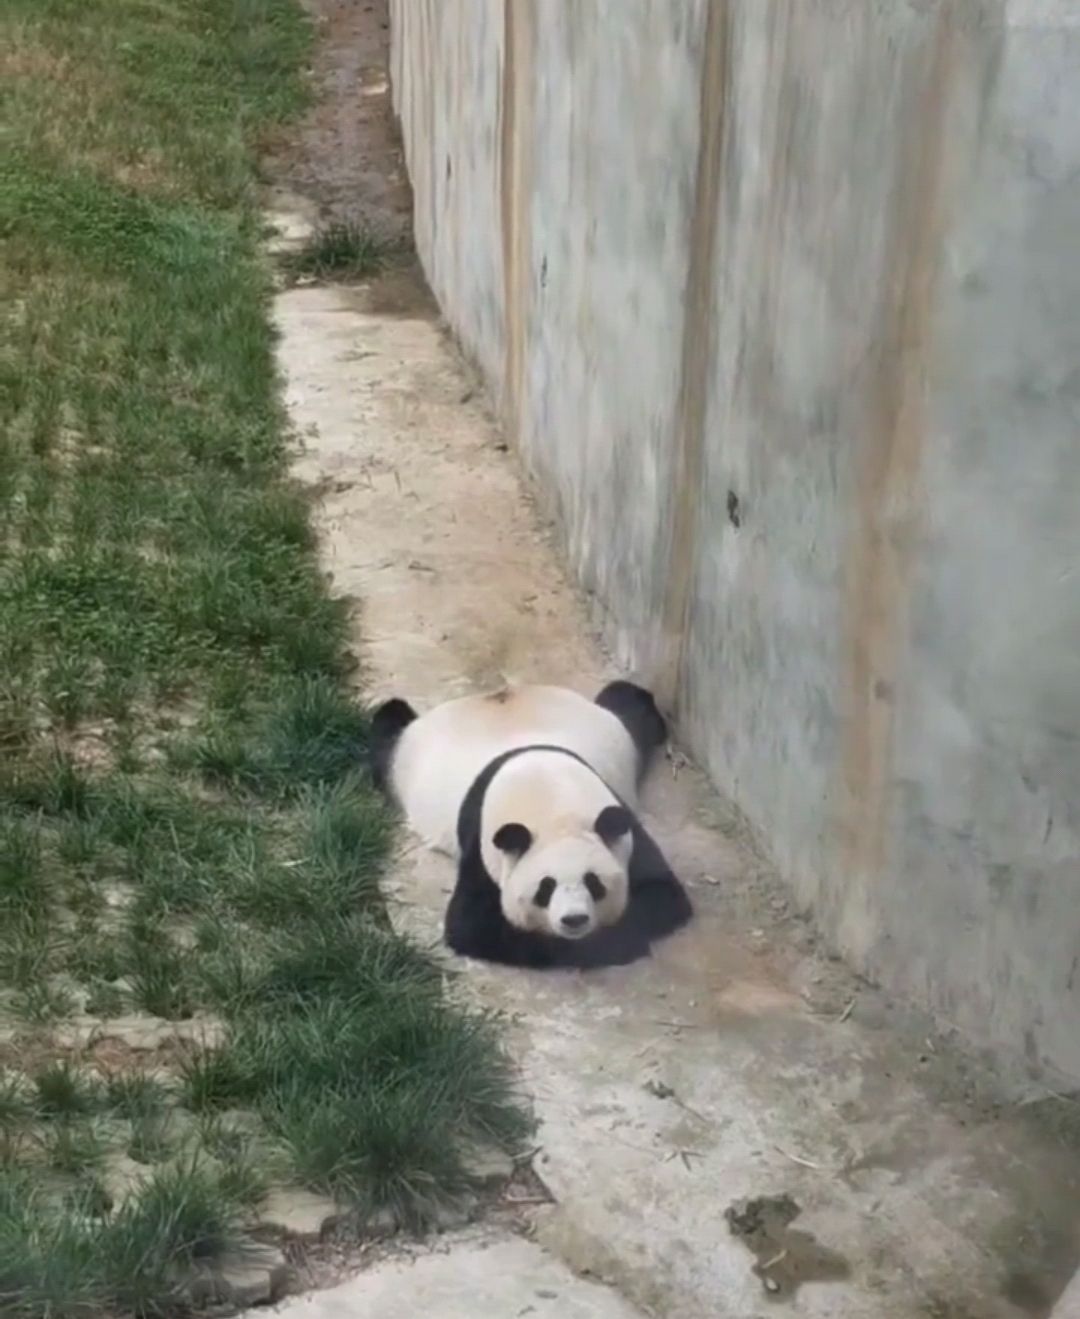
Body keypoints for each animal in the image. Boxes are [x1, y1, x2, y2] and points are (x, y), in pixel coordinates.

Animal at [369, 680, 690, 970]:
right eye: (545, 888)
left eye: (593, 882)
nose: (574, 919)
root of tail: (492, 695)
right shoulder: (483, 840)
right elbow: (474, 926)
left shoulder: (620, 821)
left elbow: (661, 893)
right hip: (403, 759)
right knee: (387, 729)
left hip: (614, 731)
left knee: (630, 704)